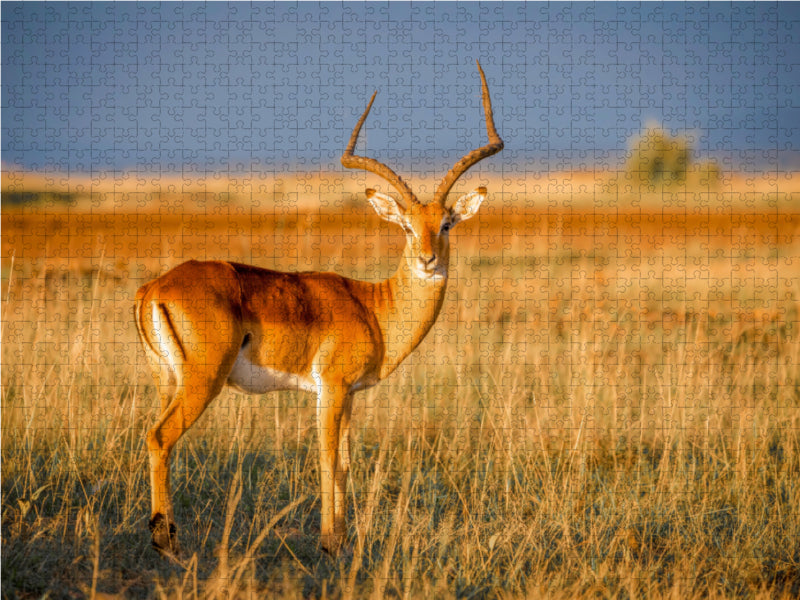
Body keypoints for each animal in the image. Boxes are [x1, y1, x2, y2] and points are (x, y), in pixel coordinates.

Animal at [134, 60, 503, 557]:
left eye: (446, 224)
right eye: (406, 227)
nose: (428, 261)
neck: (374, 308)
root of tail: (154, 287)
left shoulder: (351, 394)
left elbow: (345, 462)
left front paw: (343, 540)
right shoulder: (330, 387)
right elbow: (328, 458)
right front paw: (328, 541)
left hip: (166, 381)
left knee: (156, 436)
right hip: (201, 381)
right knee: (160, 437)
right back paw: (166, 542)